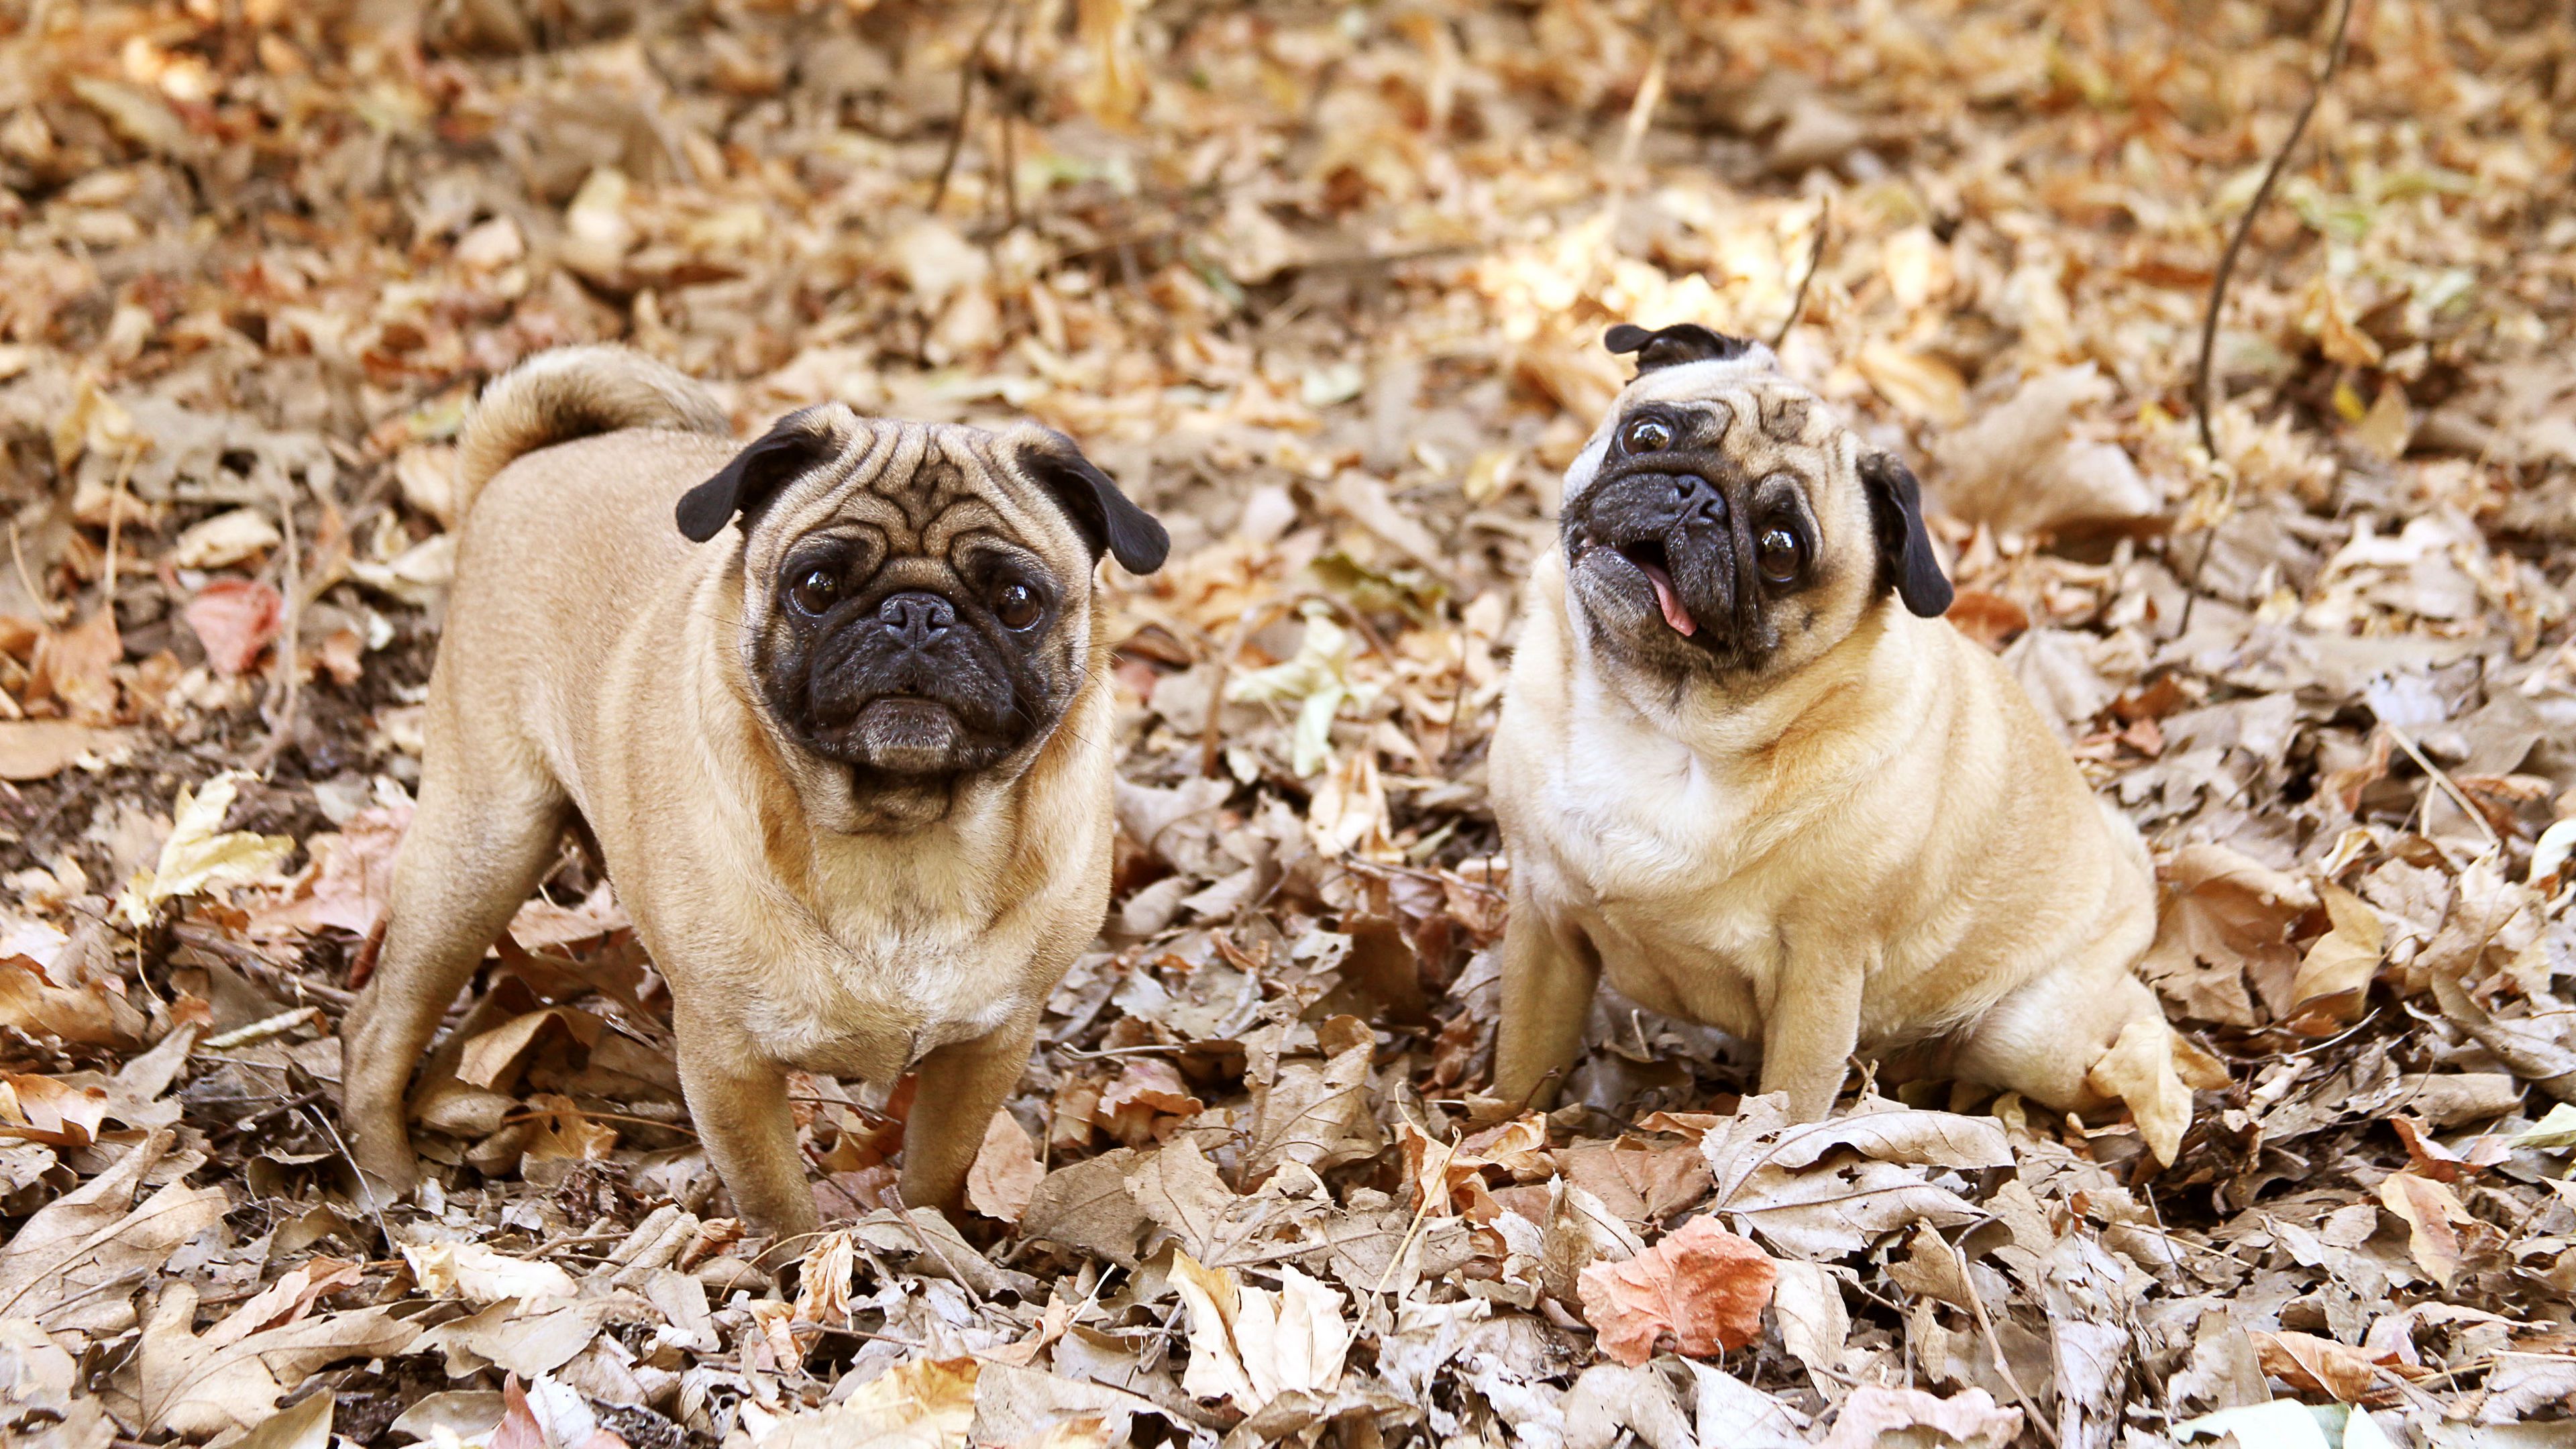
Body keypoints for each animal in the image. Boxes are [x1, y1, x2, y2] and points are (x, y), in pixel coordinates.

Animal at [342, 345, 1167, 1231]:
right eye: (816, 586)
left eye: (1017, 601)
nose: (917, 613)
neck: (906, 840)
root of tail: (525, 463)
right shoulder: (727, 1060)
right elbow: (776, 1199)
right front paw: (797, 1258)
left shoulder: (988, 1046)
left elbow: (940, 1167)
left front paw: (932, 1236)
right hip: (482, 851)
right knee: (377, 1026)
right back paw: (389, 1182)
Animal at [1488, 323, 2190, 1161]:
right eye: (1648, 435)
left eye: (1781, 547)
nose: (1697, 499)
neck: (1656, 721)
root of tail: (2135, 890)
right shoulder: (1543, 924)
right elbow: (1523, 1062)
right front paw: (1491, 1138)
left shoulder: (1819, 977)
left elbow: (1786, 1110)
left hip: (2031, 1035)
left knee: (2129, 1046)